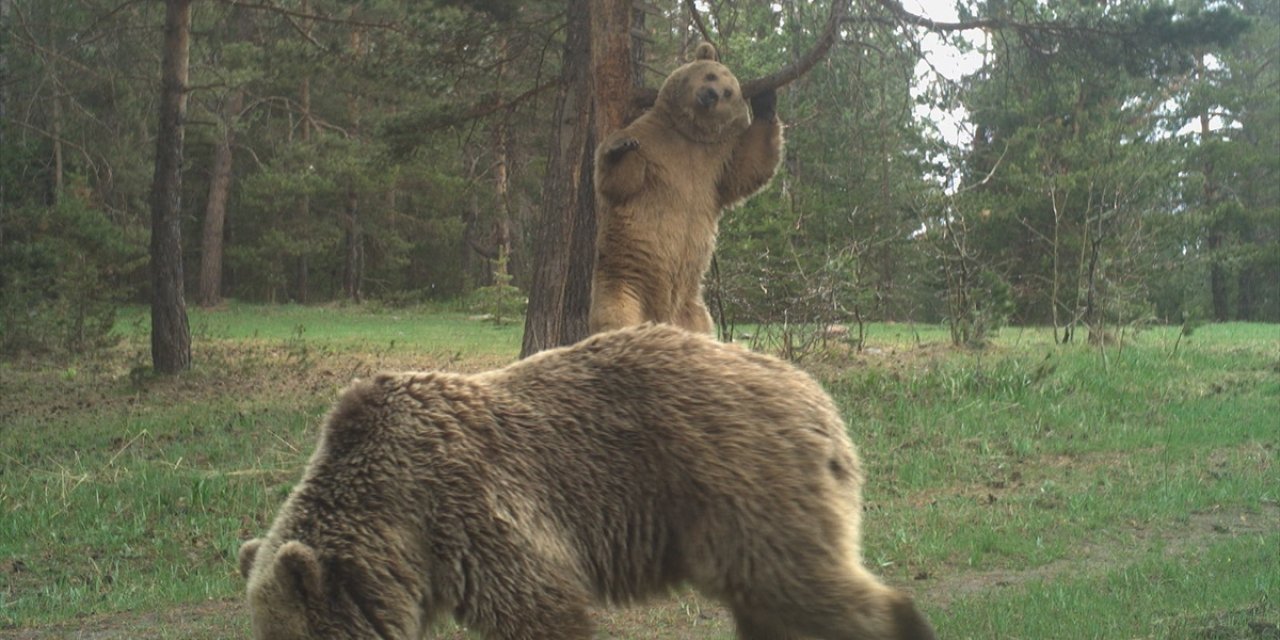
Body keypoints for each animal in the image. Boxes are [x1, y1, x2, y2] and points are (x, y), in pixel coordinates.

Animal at [241, 325, 942, 640]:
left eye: (290, 636)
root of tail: (816, 396)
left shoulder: (472, 514)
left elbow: (541, 609)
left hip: (739, 486)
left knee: (801, 586)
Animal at [586, 43, 778, 335]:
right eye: (711, 75)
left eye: (728, 92)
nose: (710, 95)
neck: (689, 134)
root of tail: (663, 317)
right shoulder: (653, 144)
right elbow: (620, 182)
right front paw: (620, 146)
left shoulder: (714, 165)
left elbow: (748, 167)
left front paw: (766, 99)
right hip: (625, 281)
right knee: (617, 316)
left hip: (694, 310)